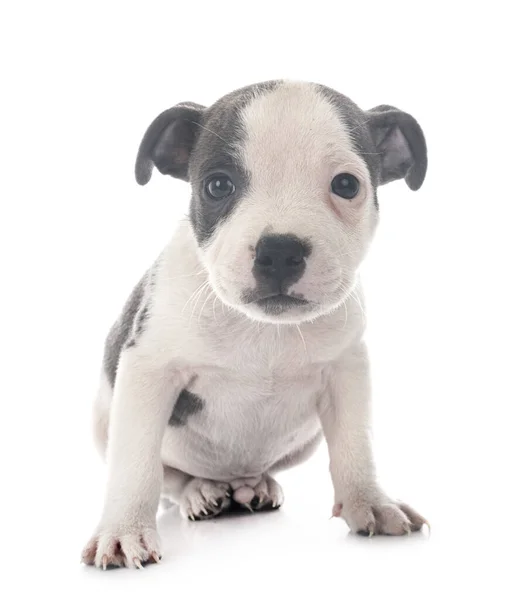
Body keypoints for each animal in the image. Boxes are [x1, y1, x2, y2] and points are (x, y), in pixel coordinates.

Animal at [83, 81, 428, 572]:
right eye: (217, 185)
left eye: (346, 185)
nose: (280, 250)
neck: (263, 329)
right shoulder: (148, 370)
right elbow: (137, 463)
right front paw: (123, 530)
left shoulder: (346, 371)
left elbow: (354, 445)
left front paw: (371, 502)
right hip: (103, 420)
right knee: (171, 479)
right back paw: (200, 490)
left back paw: (254, 484)